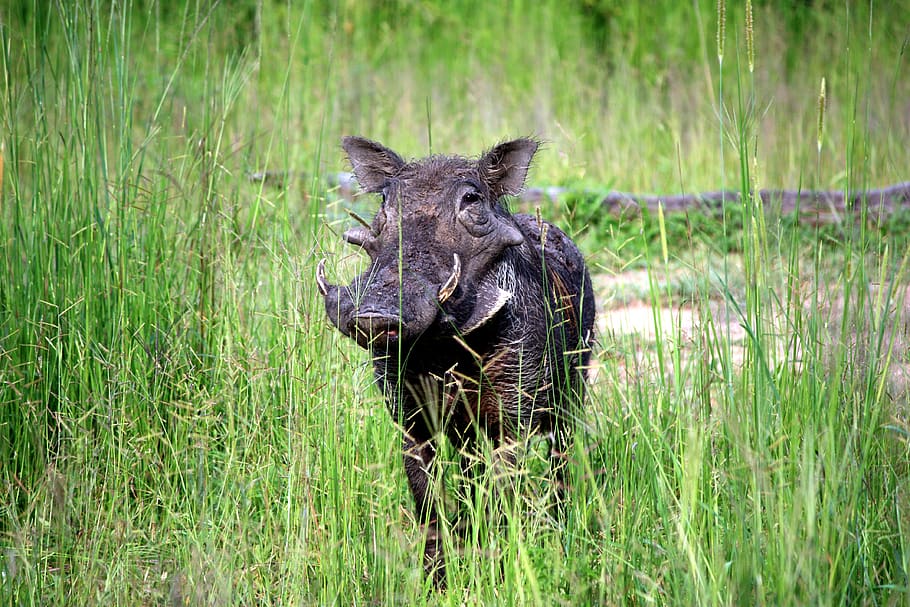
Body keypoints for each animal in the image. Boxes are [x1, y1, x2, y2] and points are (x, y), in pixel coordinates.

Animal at [316, 136, 595, 586]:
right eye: (385, 201)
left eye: (471, 200)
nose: (375, 313)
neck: (443, 348)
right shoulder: (412, 424)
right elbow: (427, 505)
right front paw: (437, 582)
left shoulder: (511, 422)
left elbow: (502, 499)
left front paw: (498, 573)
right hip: (468, 436)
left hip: (570, 399)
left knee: (560, 464)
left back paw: (559, 527)